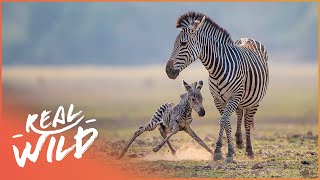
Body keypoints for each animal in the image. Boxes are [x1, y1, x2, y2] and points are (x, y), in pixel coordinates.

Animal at [166, 11, 268, 163]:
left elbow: (223, 120)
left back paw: (249, 151)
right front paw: (230, 150)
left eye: (183, 43)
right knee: (240, 114)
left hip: (254, 100)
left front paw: (219, 151)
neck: (216, 68)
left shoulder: (234, 96)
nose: (168, 71)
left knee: (247, 122)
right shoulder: (218, 99)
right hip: (240, 99)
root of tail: (248, 38)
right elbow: (227, 123)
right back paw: (239, 141)